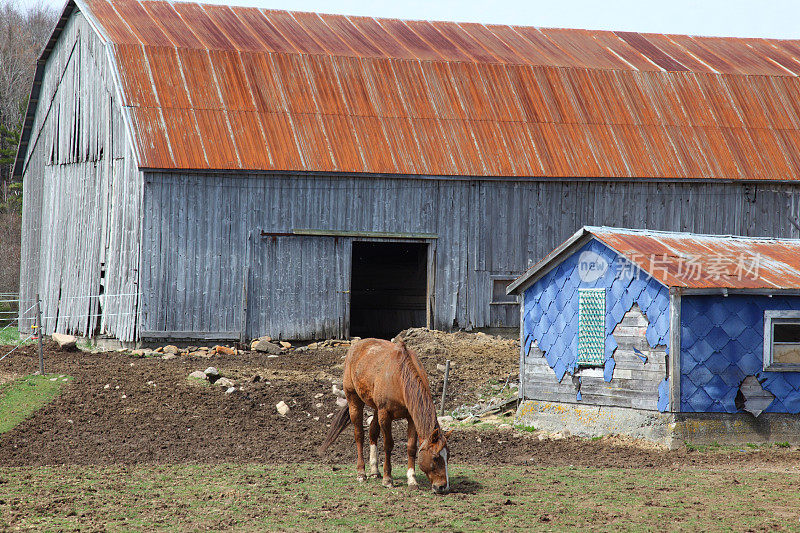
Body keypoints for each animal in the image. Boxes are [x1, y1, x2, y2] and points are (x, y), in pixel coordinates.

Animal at [320, 338, 456, 492]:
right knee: (359, 434)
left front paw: (412, 480)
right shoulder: (385, 415)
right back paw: (361, 473)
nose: (443, 487)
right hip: (354, 400)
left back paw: (374, 471)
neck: (400, 378)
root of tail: (356, 346)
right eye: (435, 457)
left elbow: (411, 447)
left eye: (448, 456)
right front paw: (387, 479)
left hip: (375, 407)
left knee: (372, 432)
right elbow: (388, 445)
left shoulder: (411, 417)